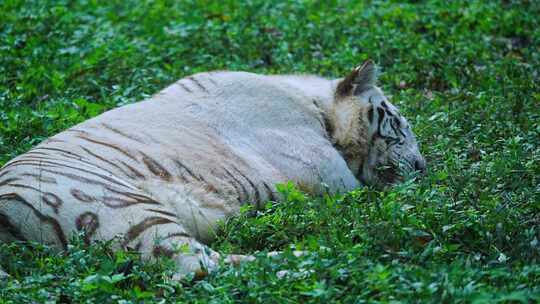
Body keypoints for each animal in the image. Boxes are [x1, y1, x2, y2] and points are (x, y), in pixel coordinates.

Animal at [0, 60, 426, 280]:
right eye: (400, 124)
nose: (423, 169)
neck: (318, 108)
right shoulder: (329, 176)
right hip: (125, 208)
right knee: (196, 265)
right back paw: (310, 260)